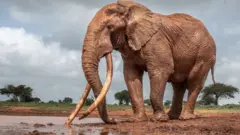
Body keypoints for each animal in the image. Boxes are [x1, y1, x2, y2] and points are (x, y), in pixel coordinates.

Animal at [65, 0, 216, 125]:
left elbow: (161, 70)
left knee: (194, 81)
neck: (128, 9)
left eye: (110, 27)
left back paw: (185, 117)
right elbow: (131, 75)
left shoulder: (156, 40)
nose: (114, 120)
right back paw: (172, 117)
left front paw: (158, 120)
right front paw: (137, 120)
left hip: (205, 54)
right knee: (178, 85)